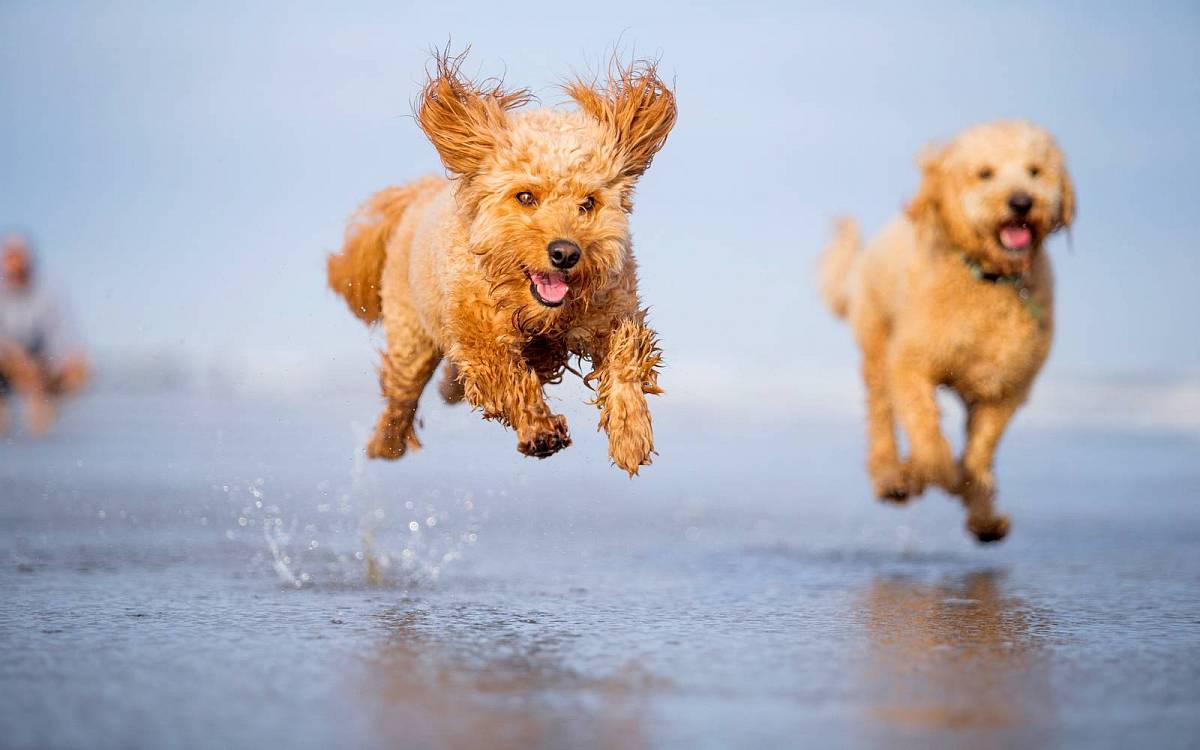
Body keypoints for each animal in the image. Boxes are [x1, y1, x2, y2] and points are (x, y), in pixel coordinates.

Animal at [328, 52, 672, 472]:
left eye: (588, 203)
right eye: (525, 197)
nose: (565, 253)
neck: (540, 314)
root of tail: (420, 193)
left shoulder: (613, 309)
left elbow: (626, 358)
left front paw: (630, 433)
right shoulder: (479, 334)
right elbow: (508, 377)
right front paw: (540, 429)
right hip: (412, 336)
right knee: (402, 394)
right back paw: (386, 443)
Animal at [825, 120, 1080, 540]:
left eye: (1035, 171)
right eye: (985, 173)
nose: (1022, 202)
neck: (988, 278)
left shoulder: (1004, 388)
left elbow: (981, 450)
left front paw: (981, 508)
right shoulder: (910, 364)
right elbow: (928, 437)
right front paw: (927, 473)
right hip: (877, 344)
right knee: (881, 413)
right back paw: (891, 476)